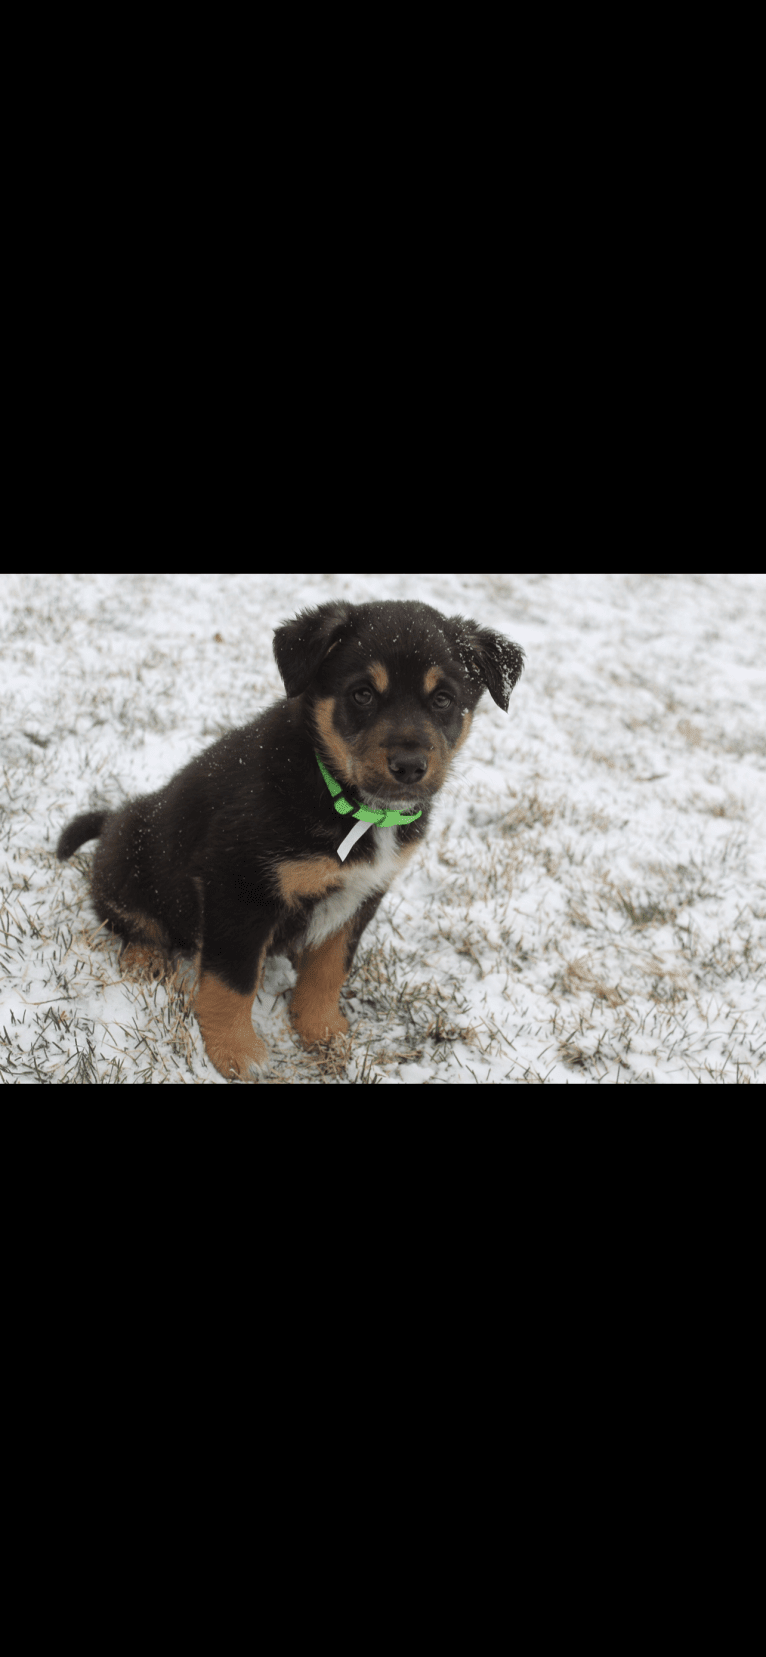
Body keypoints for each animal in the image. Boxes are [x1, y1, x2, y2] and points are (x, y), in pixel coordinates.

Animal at [58, 603, 527, 1080]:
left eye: (443, 699)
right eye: (362, 694)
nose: (410, 766)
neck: (350, 804)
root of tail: (114, 818)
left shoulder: (362, 892)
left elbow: (330, 969)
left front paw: (322, 1032)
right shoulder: (241, 886)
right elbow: (232, 981)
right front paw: (235, 1052)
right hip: (128, 858)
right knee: (128, 918)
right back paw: (145, 960)